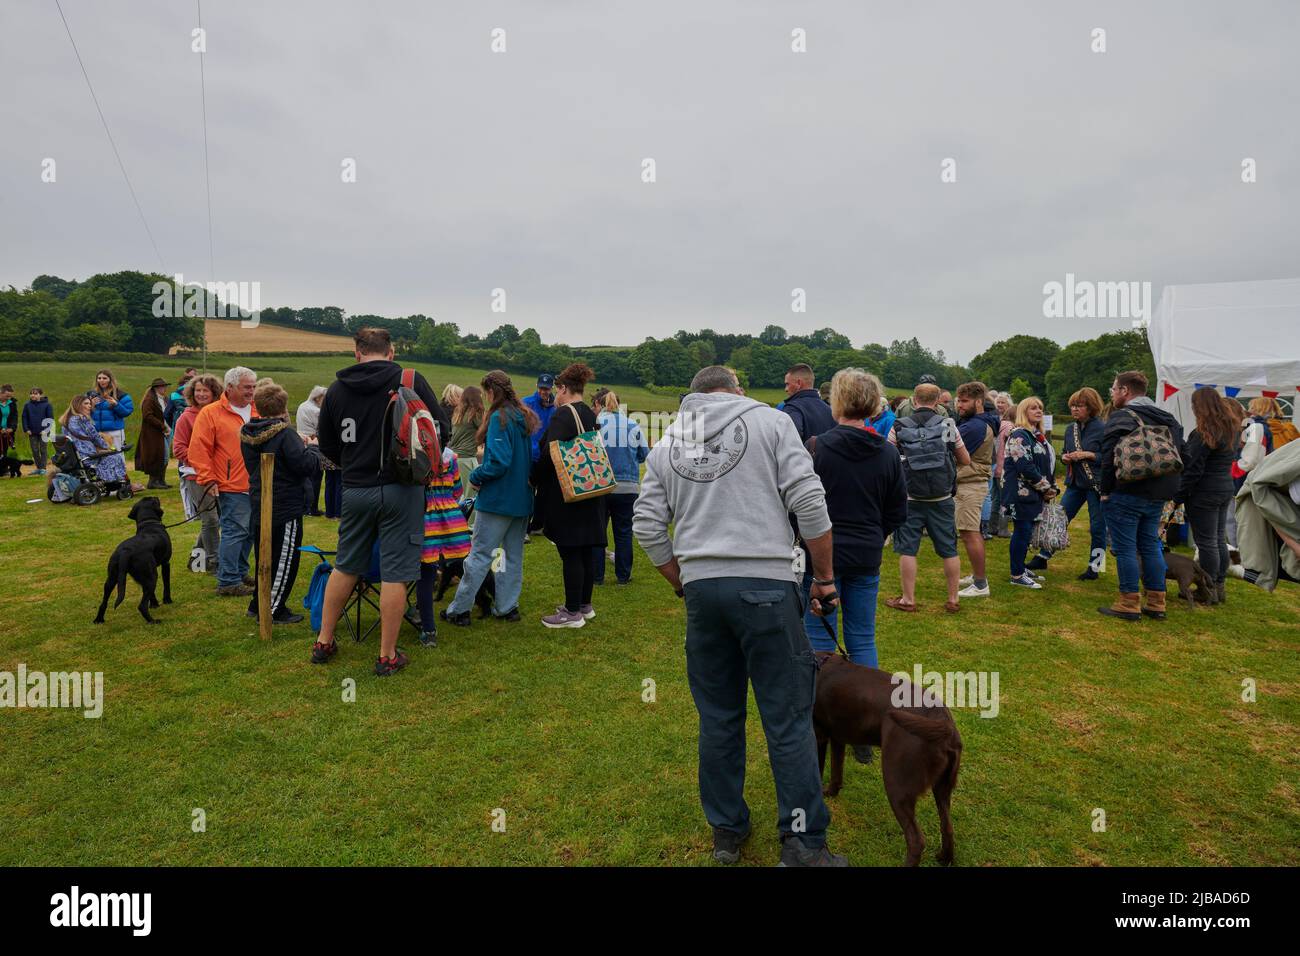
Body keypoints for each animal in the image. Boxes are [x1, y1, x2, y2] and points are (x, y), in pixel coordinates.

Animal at [94, 496, 174, 624]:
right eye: (153, 499)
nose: (156, 496)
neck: (149, 523)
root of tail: (125, 551)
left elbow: (151, 593)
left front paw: (154, 604)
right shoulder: (166, 563)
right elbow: (167, 584)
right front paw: (167, 600)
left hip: (112, 578)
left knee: (103, 603)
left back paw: (99, 619)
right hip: (152, 576)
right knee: (141, 606)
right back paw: (153, 621)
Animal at [811, 650, 967, 868]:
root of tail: (945, 724)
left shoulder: (819, 735)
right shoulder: (838, 738)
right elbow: (836, 771)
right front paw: (831, 793)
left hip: (896, 784)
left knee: (916, 840)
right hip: (942, 788)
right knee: (948, 827)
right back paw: (945, 859)